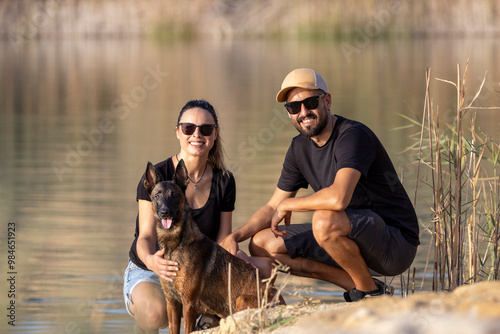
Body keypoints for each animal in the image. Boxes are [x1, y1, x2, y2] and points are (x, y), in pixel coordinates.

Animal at [144, 160, 286, 334]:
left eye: (175, 195)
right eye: (156, 196)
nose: (165, 212)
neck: (175, 244)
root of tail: (283, 301)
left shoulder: (189, 304)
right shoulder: (172, 303)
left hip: (241, 299)